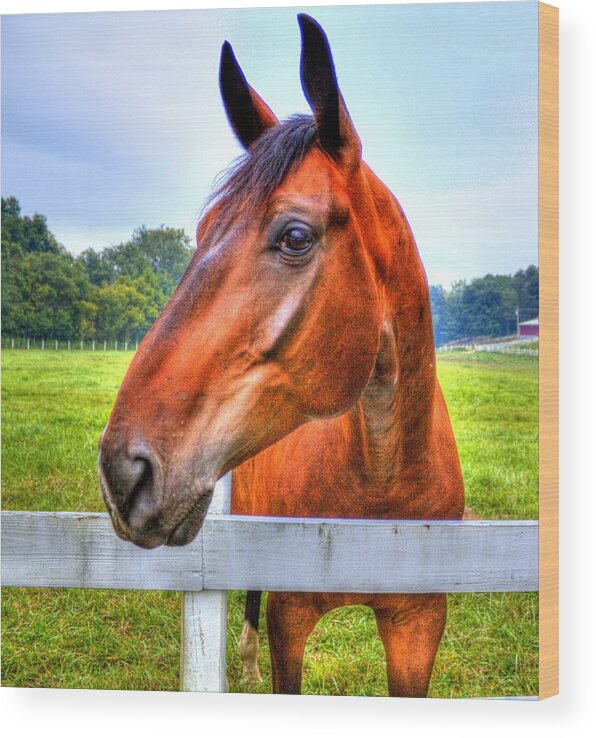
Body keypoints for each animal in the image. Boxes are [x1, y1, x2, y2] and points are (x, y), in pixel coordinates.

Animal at [99, 12, 466, 696]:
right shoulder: (290, 615)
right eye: (202, 231)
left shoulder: (418, 623)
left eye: (295, 236)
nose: (122, 472)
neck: (380, 493)